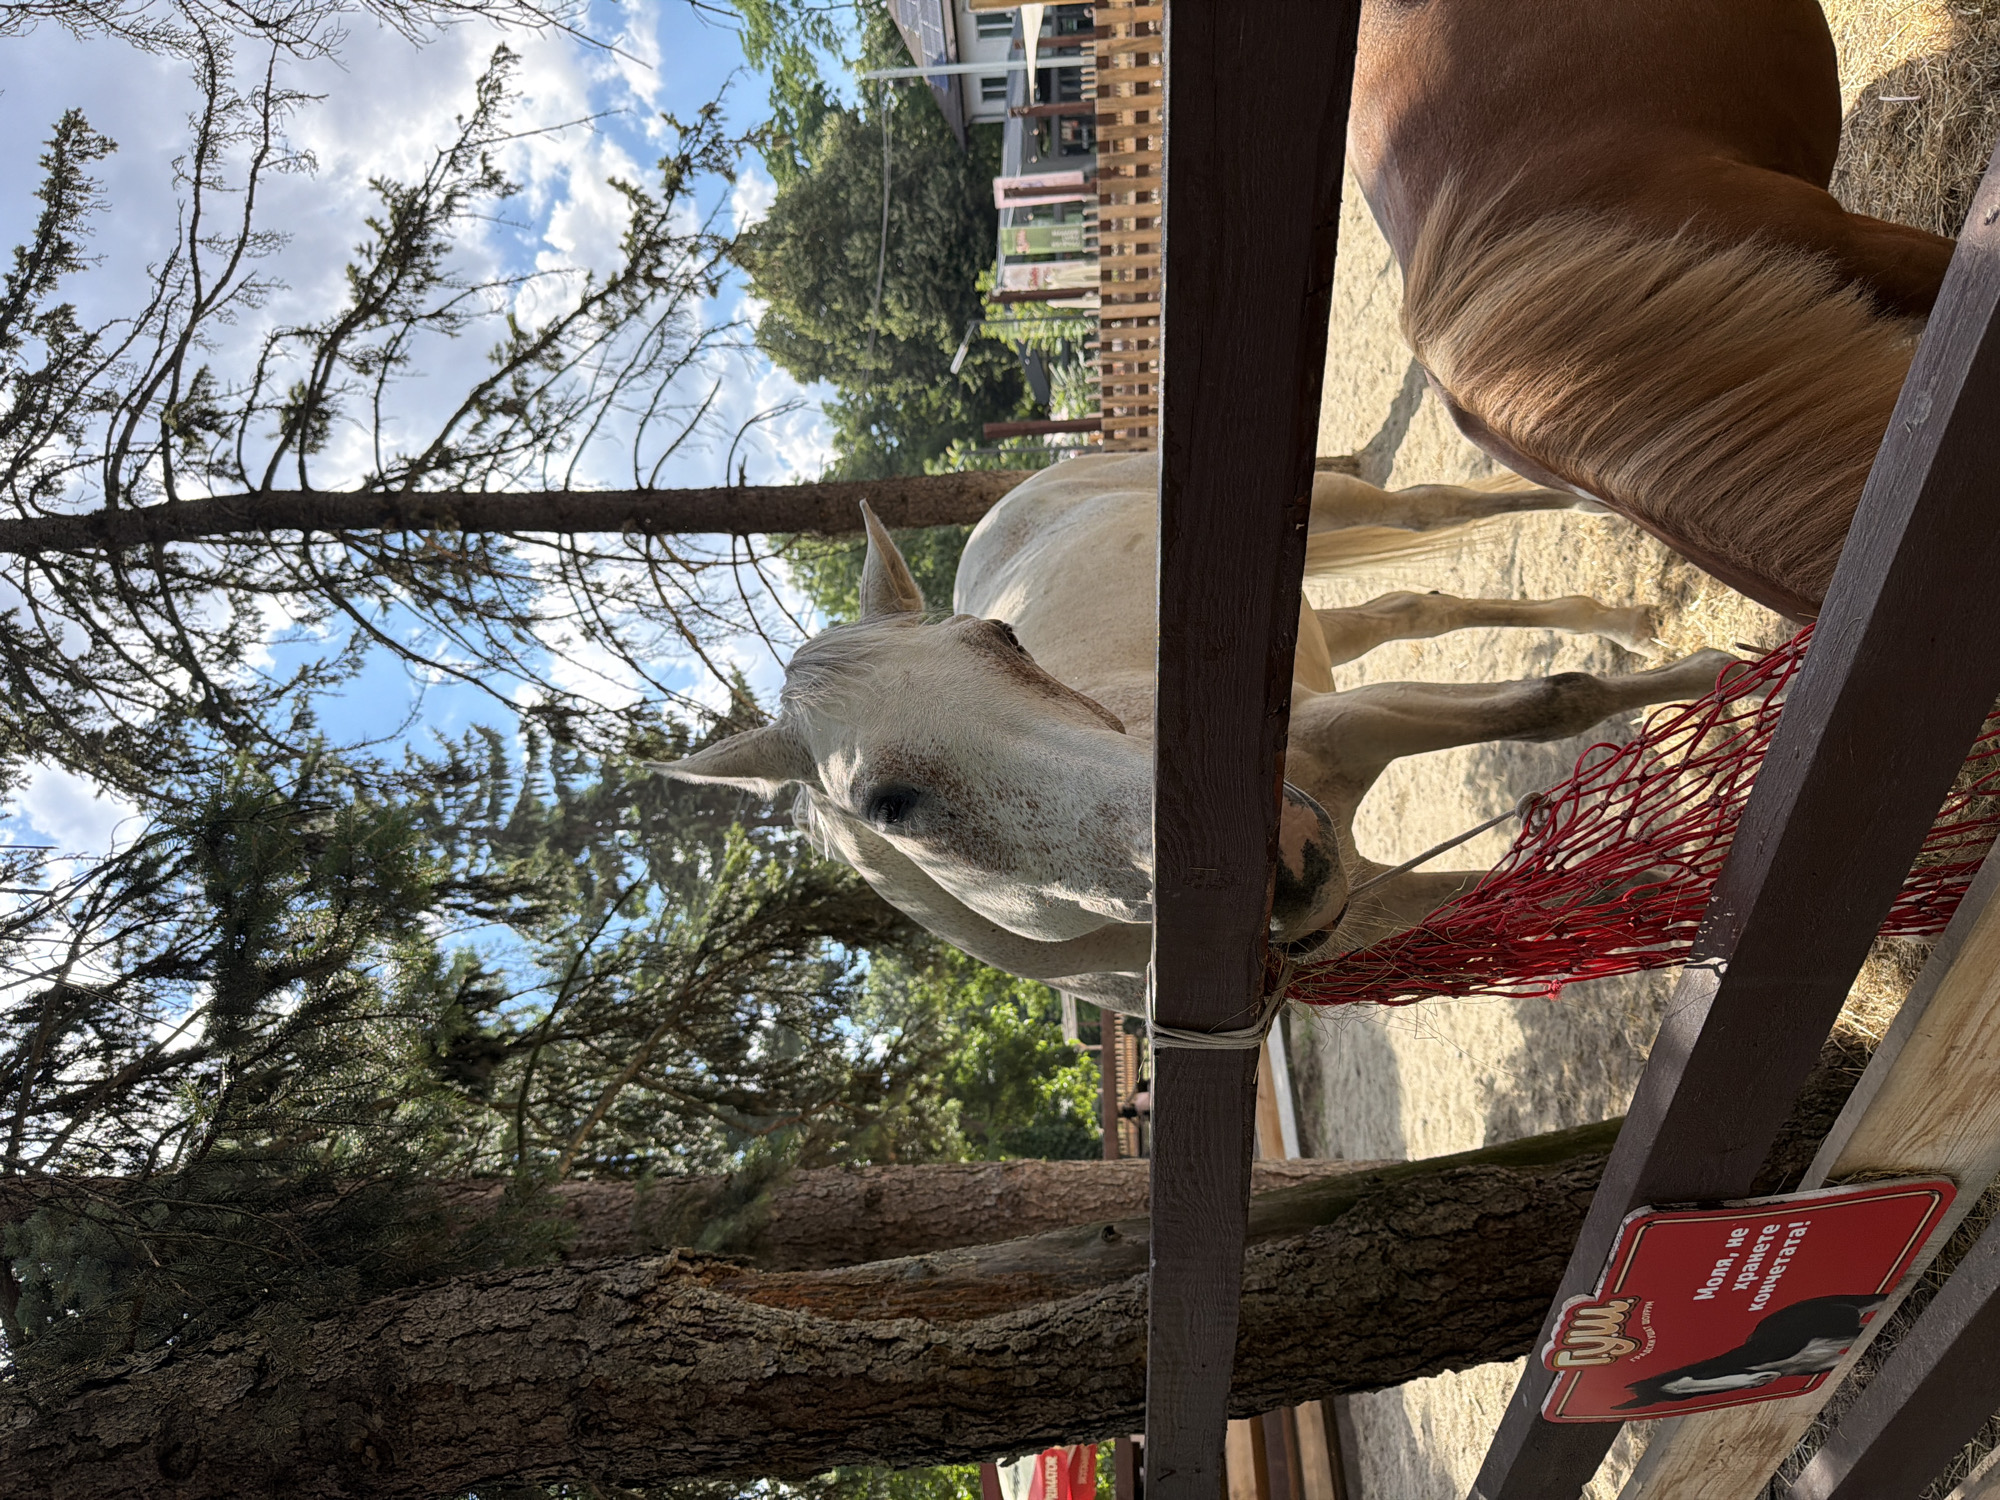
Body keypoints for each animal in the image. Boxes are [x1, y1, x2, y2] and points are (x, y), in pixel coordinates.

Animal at [663, 452, 1734, 1013]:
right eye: (889, 803)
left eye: (1003, 641)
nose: (1287, 856)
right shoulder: (1366, 912)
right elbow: (1600, 891)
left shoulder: (1353, 726)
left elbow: (1558, 698)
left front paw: (1726, 678)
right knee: (1411, 606)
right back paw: (1619, 614)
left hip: (1335, 508)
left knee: (1436, 508)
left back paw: (1607, 536)